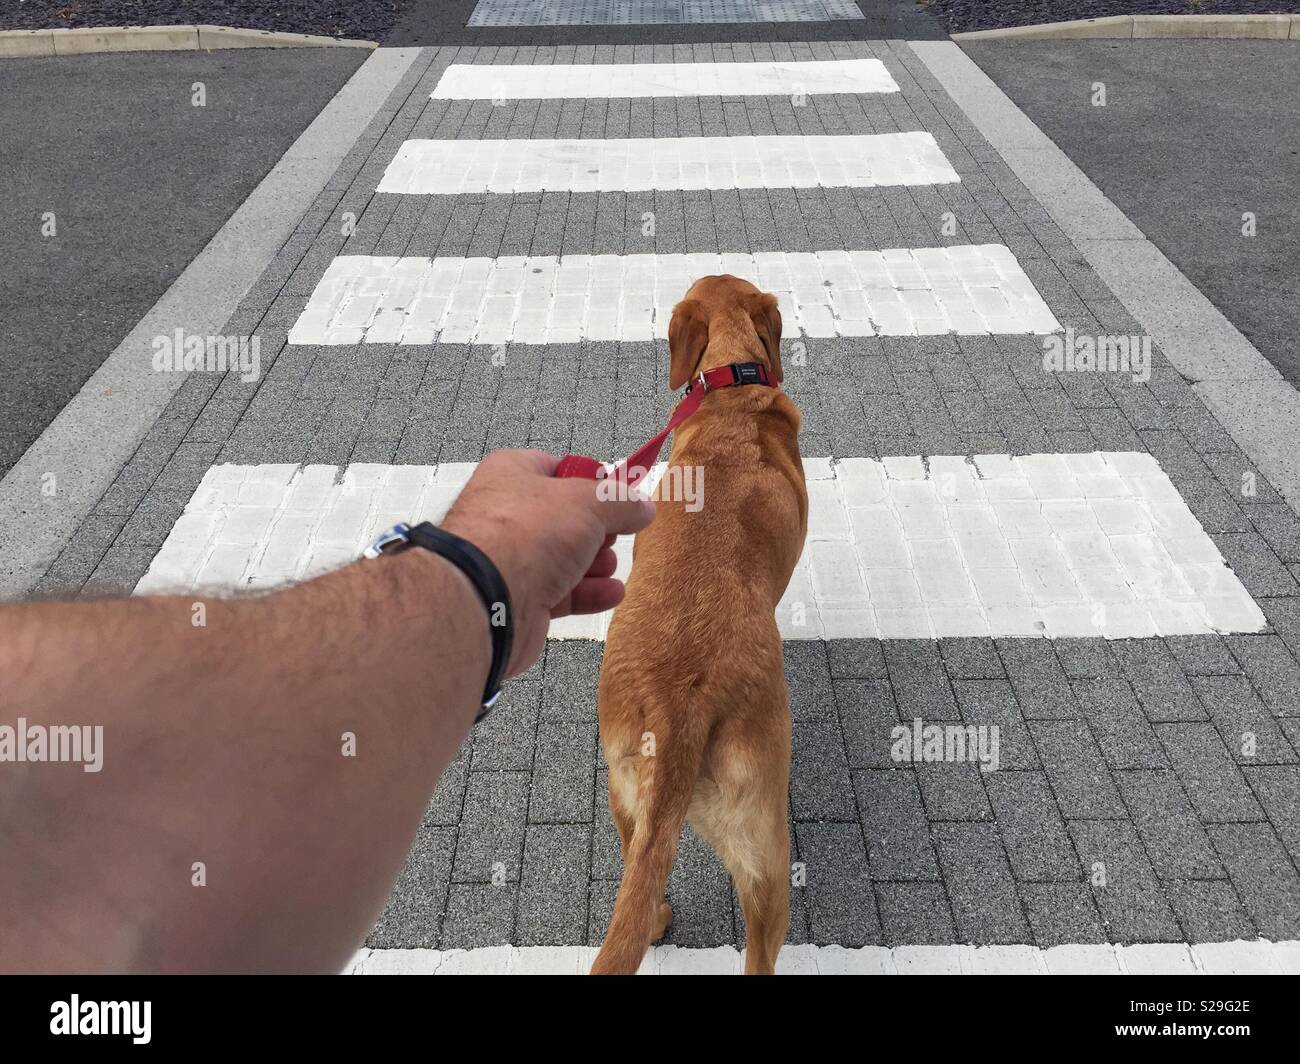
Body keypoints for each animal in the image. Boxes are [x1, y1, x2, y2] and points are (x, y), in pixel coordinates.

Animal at [595, 271, 806, 967]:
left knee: (640, 875)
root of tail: (679, 708)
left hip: (626, 791)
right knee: (760, 956)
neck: (732, 393)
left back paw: (657, 919)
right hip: (768, 849)